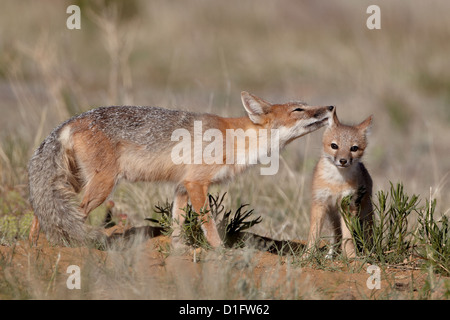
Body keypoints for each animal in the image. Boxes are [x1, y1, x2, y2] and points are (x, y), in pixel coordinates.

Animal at [26, 92, 332, 248]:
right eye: (299, 109)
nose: (330, 106)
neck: (235, 139)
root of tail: (70, 121)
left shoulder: (182, 186)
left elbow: (176, 222)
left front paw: (178, 251)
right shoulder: (197, 184)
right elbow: (208, 223)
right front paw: (220, 253)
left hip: (76, 182)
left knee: (42, 210)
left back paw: (33, 246)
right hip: (101, 186)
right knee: (68, 213)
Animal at [306, 107, 372, 258]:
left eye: (354, 148)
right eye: (334, 146)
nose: (343, 161)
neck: (336, 182)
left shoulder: (348, 206)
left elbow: (348, 236)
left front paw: (351, 256)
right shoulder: (319, 203)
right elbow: (314, 234)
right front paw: (307, 255)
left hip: (364, 214)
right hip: (333, 216)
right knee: (336, 235)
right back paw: (330, 255)